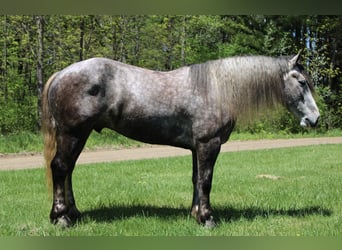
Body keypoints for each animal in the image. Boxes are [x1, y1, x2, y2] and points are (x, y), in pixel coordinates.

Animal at [41, 50, 320, 227]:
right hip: (73, 133)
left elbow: (196, 180)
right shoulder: (209, 144)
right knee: (61, 168)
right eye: (302, 82)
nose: (315, 119)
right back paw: (61, 217)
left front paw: (195, 214)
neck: (217, 89)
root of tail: (61, 74)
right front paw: (207, 219)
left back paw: (74, 213)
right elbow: (206, 181)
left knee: (68, 170)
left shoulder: (197, 147)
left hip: (80, 135)